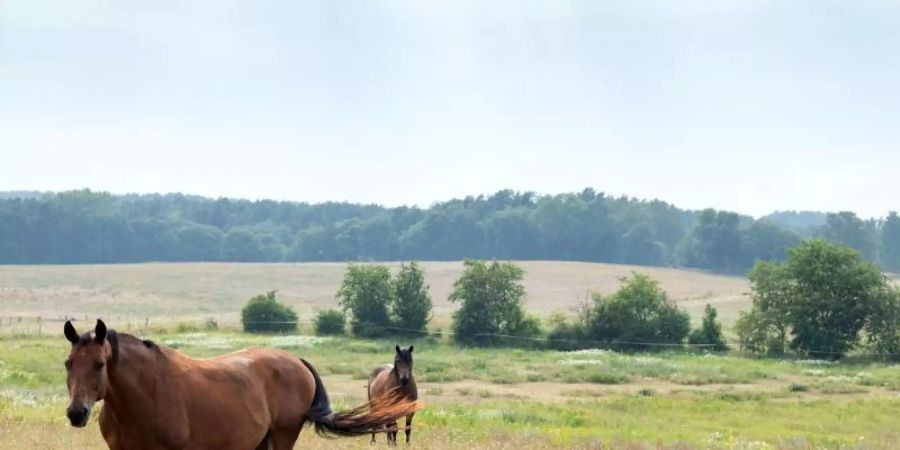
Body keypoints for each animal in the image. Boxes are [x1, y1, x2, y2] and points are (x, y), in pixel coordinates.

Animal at [63, 318, 422, 448]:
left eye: (99, 365)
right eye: (68, 364)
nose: (76, 413)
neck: (143, 395)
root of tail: (297, 362)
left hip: (282, 436)